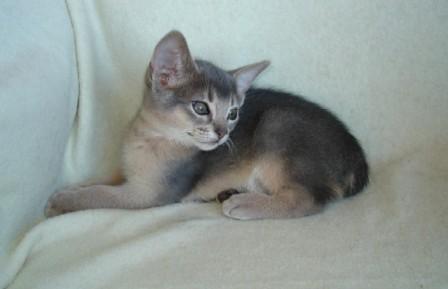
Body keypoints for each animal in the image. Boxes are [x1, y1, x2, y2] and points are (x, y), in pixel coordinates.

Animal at [44, 31, 368, 218]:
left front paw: (62, 201)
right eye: (201, 107)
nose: (223, 134)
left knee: (306, 199)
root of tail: (356, 155)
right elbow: (101, 180)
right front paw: (71, 187)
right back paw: (231, 193)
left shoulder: (148, 194)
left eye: (233, 113)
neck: (148, 136)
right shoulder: (128, 175)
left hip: (280, 122)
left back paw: (245, 204)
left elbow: (100, 194)